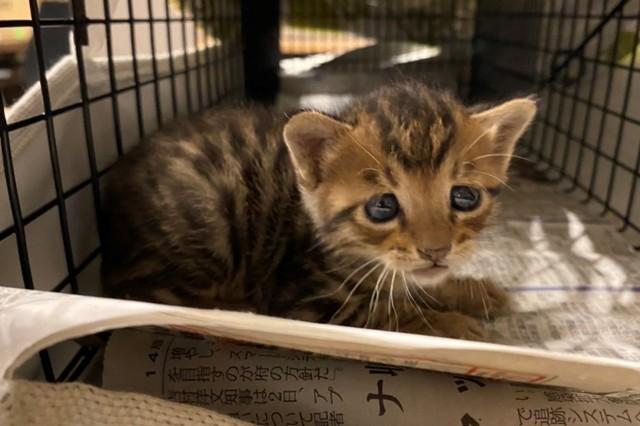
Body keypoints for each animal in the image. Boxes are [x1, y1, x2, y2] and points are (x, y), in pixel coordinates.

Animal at [102, 82, 536, 340]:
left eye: (464, 198)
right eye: (383, 206)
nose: (436, 251)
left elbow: (414, 286)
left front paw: (468, 291)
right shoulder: (306, 300)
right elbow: (387, 314)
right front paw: (450, 323)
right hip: (211, 223)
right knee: (153, 295)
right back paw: (235, 310)